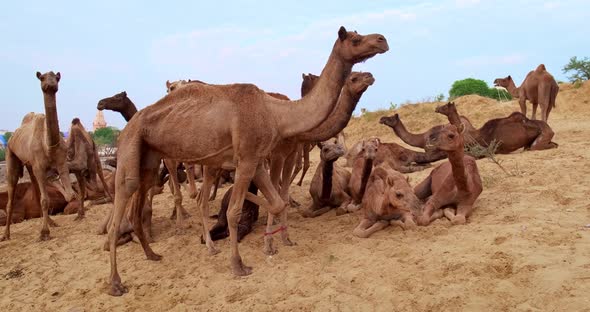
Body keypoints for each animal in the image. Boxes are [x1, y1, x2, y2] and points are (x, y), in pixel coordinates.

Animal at [0, 71, 77, 241]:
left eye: (56, 77)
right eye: (42, 78)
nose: (50, 84)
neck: (48, 146)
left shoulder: (62, 162)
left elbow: (70, 195)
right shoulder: (40, 167)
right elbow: (45, 199)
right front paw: (44, 233)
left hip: (30, 165)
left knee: (36, 189)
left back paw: (51, 222)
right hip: (10, 154)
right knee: (12, 189)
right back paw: (6, 235)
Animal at [106, 26, 390, 294]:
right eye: (355, 39)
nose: (382, 40)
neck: (277, 114)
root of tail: (128, 126)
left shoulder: (257, 159)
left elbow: (277, 202)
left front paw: (276, 238)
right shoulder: (249, 159)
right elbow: (234, 211)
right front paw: (239, 264)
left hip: (151, 158)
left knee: (144, 197)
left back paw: (153, 254)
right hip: (131, 149)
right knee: (125, 198)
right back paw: (116, 282)